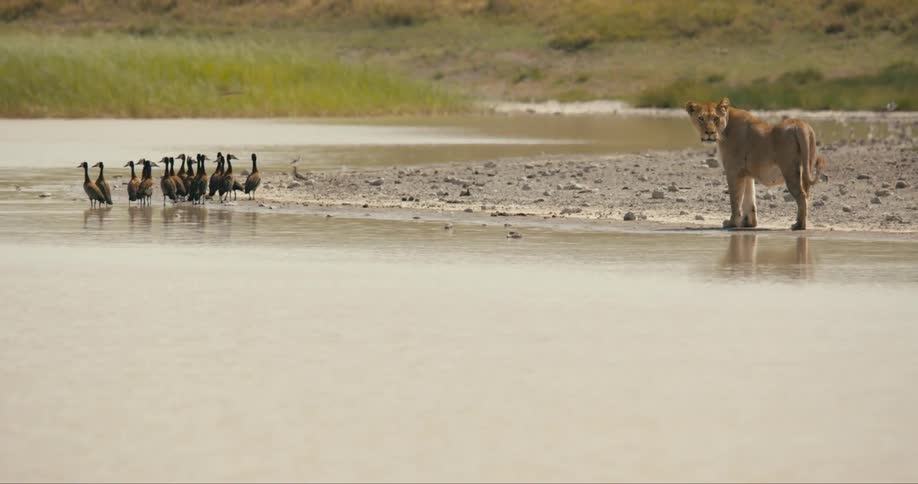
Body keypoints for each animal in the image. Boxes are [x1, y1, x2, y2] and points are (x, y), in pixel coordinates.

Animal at [685, 98, 826, 230]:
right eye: (701, 118)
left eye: (716, 118)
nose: (709, 133)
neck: (725, 130)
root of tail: (800, 124)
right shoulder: (746, 173)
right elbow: (749, 198)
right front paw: (748, 223)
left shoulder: (733, 171)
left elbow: (735, 199)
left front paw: (732, 223)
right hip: (806, 168)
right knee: (806, 195)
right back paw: (800, 223)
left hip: (790, 170)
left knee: (802, 196)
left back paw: (799, 225)